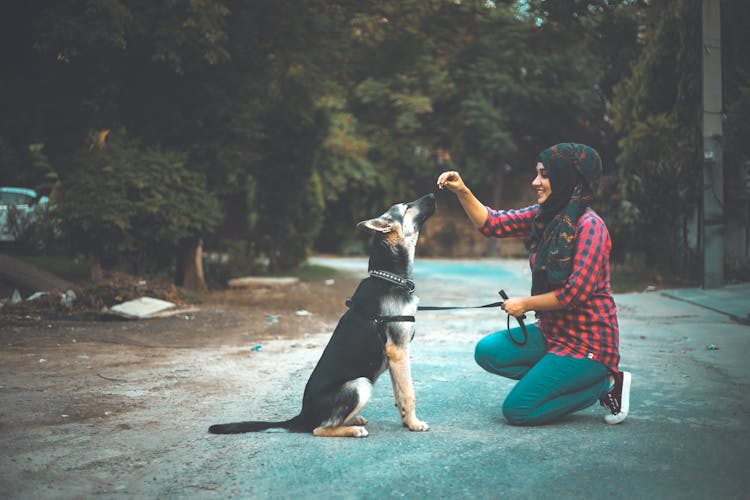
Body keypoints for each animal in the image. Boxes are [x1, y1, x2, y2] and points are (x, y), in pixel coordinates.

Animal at [209, 193, 438, 436]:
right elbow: (409, 392)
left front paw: (407, 422)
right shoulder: (398, 350)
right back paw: (352, 429)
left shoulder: (395, 356)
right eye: (406, 207)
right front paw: (414, 423)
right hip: (361, 384)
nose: (433, 194)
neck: (389, 277)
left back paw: (353, 420)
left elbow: (400, 394)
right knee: (319, 429)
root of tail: (301, 416)